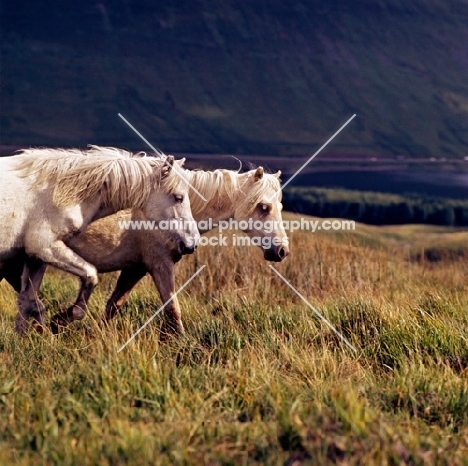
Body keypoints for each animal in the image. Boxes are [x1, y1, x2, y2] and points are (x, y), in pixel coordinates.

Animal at [0, 146, 199, 332]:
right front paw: (61, 319)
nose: (192, 243)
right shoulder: (44, 247)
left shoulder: (34, 257)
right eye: (178, 197)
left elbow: (28, 301)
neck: (59, 191)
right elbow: (91, 275)